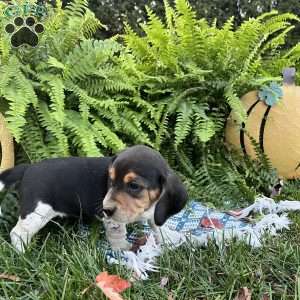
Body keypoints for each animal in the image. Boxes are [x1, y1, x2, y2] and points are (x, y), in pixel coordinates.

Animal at [0, 144, 188, 252]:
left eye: (134, 185)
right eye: (110, 180)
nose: (105, 209)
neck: (146, 207)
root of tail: (27, 168)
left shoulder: (155, 211)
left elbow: (157, 225)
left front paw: (167, 238)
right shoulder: (113, 220)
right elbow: (118, 234)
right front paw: (123, 250)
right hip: (36, 213)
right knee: (17, 233)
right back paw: (24, 254)